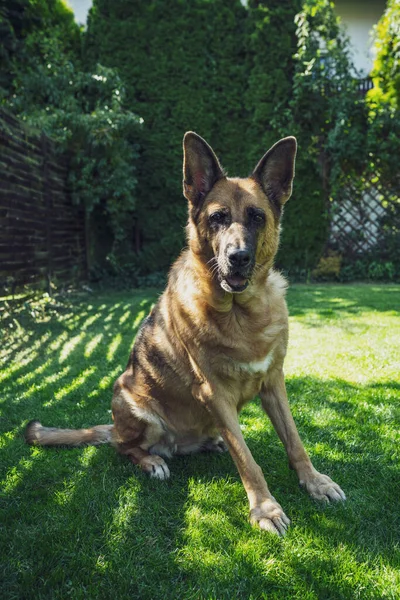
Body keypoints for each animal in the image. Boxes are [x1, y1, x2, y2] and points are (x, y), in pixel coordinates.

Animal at [25, 132, 346, 536]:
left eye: (257, 217)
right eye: (217, 218)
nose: (238, 258)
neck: (241, 315)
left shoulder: (274, 382)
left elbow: (294, 439)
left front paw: (314, 481)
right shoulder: (215, 393)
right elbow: (248, 459)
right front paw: (265, 508)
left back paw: (208, 444)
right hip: (133, 403)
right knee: (124, 447)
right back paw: (152, 461)